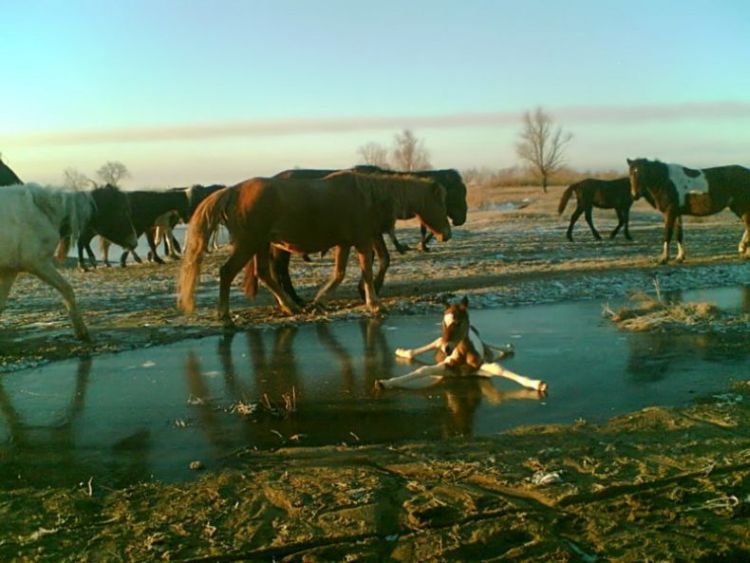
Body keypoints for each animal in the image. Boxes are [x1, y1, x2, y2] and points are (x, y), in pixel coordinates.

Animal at [0, 185, 138, 342]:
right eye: (122, 210)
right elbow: (67, 289)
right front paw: (81, 332)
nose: (134, 242)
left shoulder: (9, 270)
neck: (42, 212)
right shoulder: (39, 264)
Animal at [179, 172, 452, 324]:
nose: (447, 233)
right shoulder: (362, 241)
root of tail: (233, 191)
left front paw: (320, 300)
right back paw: (225, 315)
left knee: (264, 274)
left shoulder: (345, 243)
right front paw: (374, 304)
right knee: (227, 273)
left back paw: (290, 306)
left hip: (260, 245)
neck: (367, 196)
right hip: (249, 244)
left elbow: (339, 274)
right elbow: (365, 272)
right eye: (440, 203)